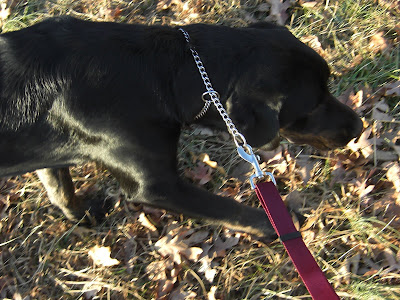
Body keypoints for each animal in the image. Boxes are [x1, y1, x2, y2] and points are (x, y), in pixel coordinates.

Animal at [0, 17, 362, 239]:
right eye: (313, 106)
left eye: (329, 86)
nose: (359, 127)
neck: (167, 69)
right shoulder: (156, 186)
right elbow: (234, 211)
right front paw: (283, 224)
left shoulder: (50, 154)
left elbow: (59, 189)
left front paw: (82, 216)